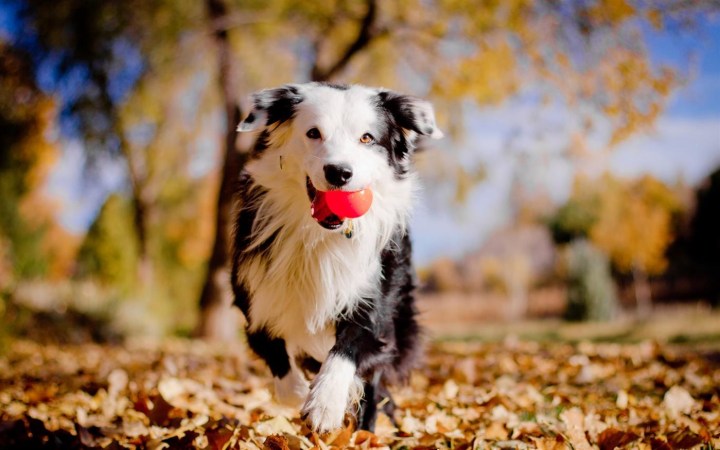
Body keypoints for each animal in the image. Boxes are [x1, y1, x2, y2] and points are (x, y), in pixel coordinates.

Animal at [233, 81, 442, 432]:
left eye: (367, 138)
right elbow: (274, 354)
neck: (321, 236)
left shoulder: (374, 300)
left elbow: (348, 348)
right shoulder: (254, 298)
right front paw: (299, 391)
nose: (339, 173)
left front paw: (325, 404)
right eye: (313, 133)